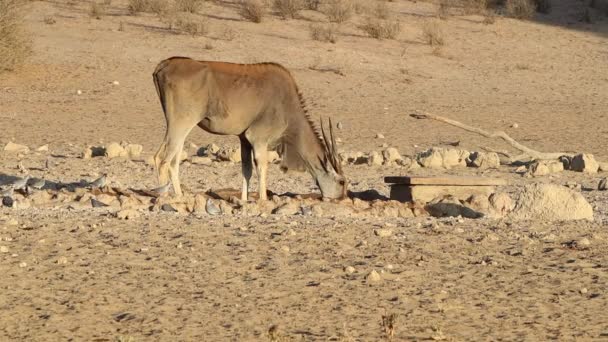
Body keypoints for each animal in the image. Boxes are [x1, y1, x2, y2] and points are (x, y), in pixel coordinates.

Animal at [152, 56, 346, 200]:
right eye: (342, 182)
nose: (342, 198)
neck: (288, 105)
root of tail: (164, 65)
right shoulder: (258, 139)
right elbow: (262, 167)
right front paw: (263, 200)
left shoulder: (244, 139)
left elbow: (246, 170)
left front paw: (245, 200)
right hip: (181, 124)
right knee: (162, 159)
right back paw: (164, 198)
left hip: (179, 128)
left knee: (171, 160)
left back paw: (179, 196)